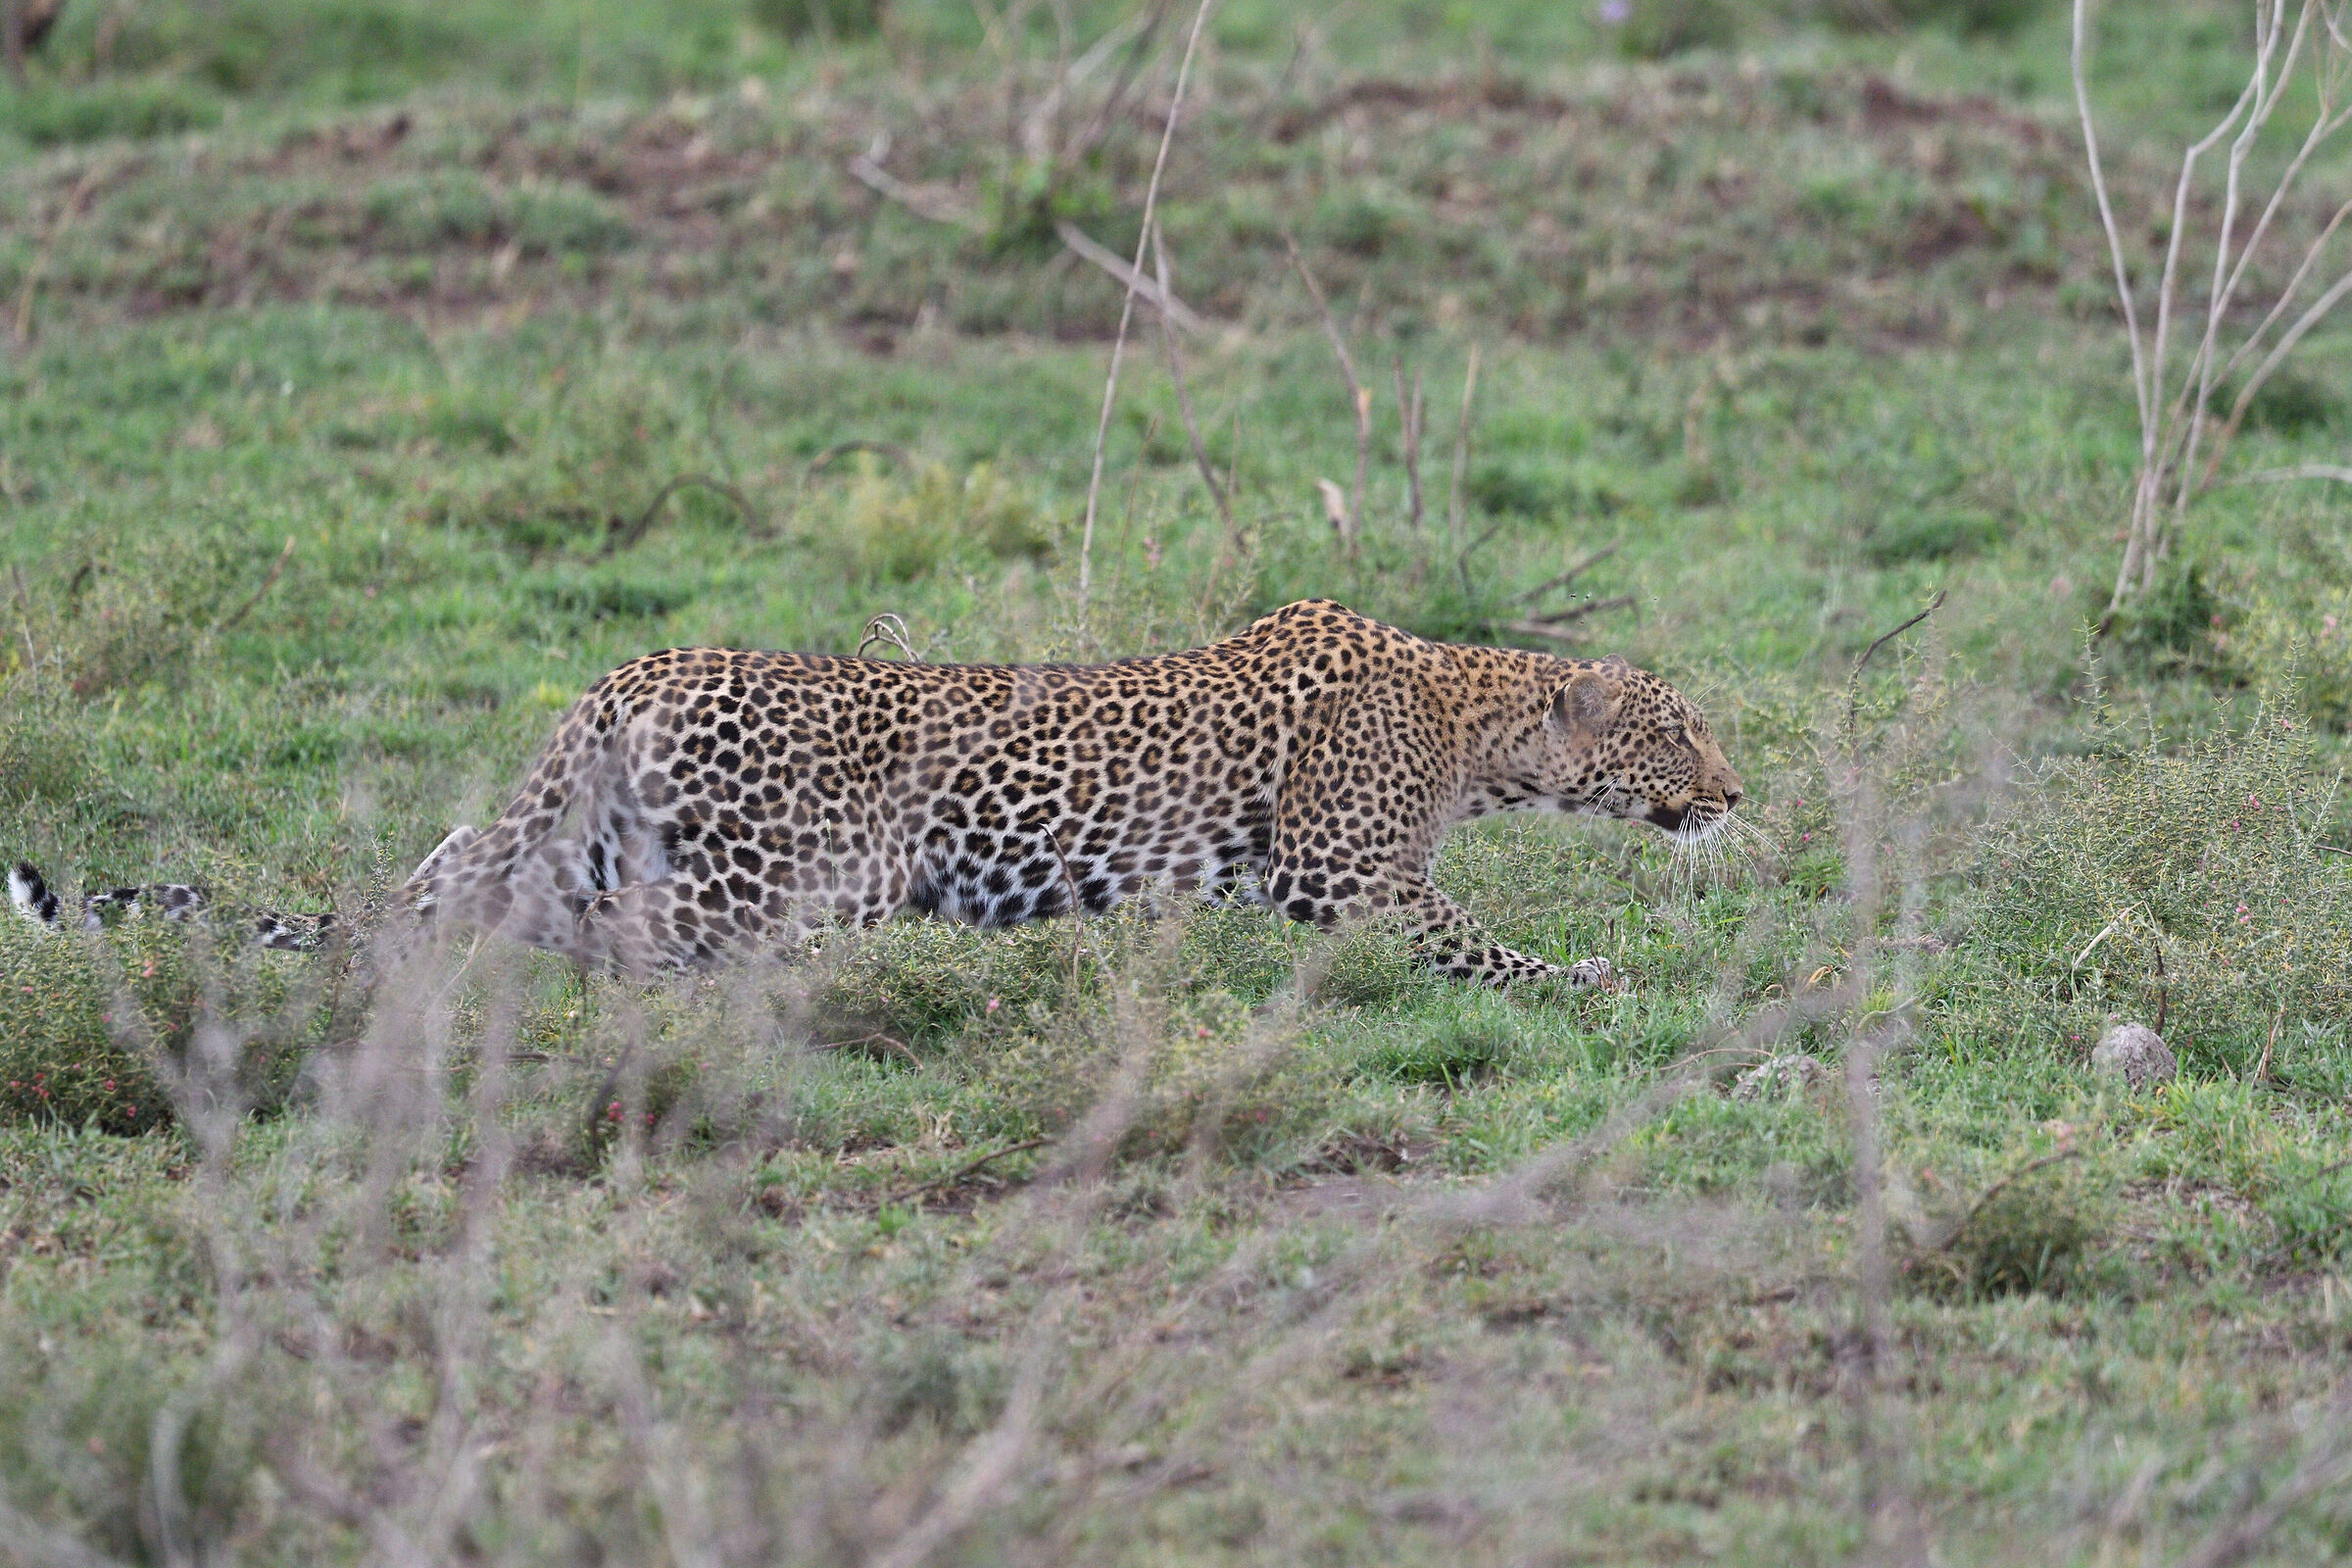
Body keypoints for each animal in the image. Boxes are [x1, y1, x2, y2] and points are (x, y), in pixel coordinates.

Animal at [400, 599, 1744, 986]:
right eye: (1680, 732)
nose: (1736, 791)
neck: (1476, 722)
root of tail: (637, 667)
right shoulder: (1339, 866)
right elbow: (1475, 940)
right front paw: (1582, 977)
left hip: (591, 836)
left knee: (451, 866)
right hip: (794, 871)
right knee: (606, 932)